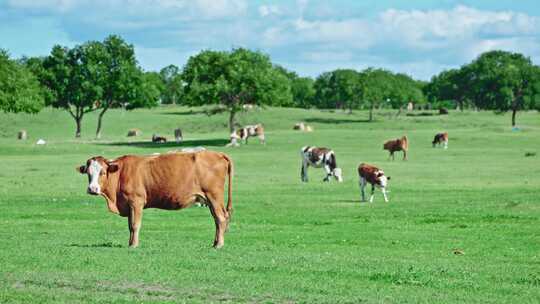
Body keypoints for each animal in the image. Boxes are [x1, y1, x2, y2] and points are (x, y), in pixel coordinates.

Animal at [76, 151, 234, 248]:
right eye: (88, 173)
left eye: (102, 172)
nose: (92, 189)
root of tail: (217, 154)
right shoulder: (129, 204)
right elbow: (130, 226)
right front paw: (130, 243)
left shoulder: (136, 202)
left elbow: (135, 225)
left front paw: (134, 245)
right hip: (210, 200)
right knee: (217, 219)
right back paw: (215, 242)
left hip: (213, 196)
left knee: (220, 218)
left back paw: (218, 245)